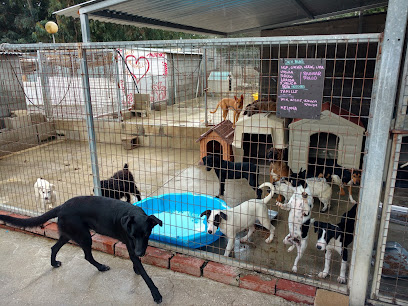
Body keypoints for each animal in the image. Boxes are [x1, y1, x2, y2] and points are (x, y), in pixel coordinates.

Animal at [1, 196, 164, 304]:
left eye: (146, 234)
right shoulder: (131, 247)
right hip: (85, 236)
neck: (131, 213)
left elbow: (137, 264)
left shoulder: (134, 248)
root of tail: (62, 206)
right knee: (87, 256)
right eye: (133, 235)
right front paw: (156, 294)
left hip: (68, 235)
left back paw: (54, 263)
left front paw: (136, 269)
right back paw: (100, 267)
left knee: (54, 248)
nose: (140, 253)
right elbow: (146, 276)